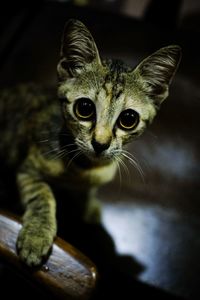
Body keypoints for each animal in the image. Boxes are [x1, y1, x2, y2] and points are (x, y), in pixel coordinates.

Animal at [0, 19, 181, 268]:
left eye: (129, 119)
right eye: (84, 108)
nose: (100, 143)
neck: (84, 168)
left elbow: (86, 194)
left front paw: (89, 207)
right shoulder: (27, 167)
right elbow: (42, 194)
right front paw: (36, 235)